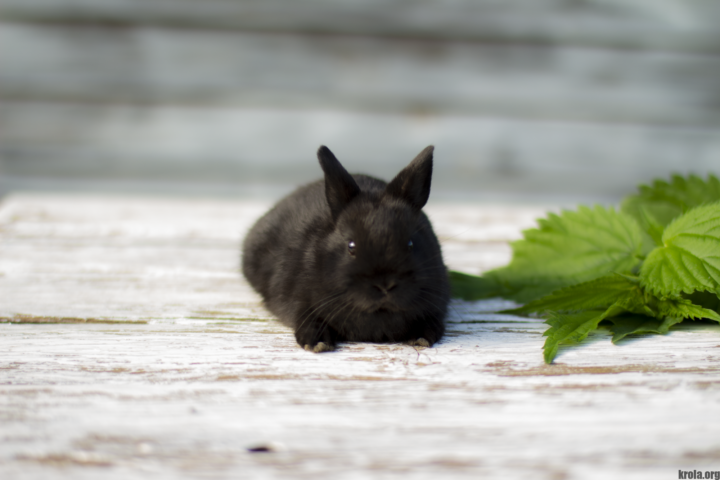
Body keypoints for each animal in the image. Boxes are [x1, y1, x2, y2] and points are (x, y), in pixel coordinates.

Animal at [242, 144, 448, 350]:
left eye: (410, 243)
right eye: (351, 245)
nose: (385, 285)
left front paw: (421, 338)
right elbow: (305, 317)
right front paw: (317, 343)